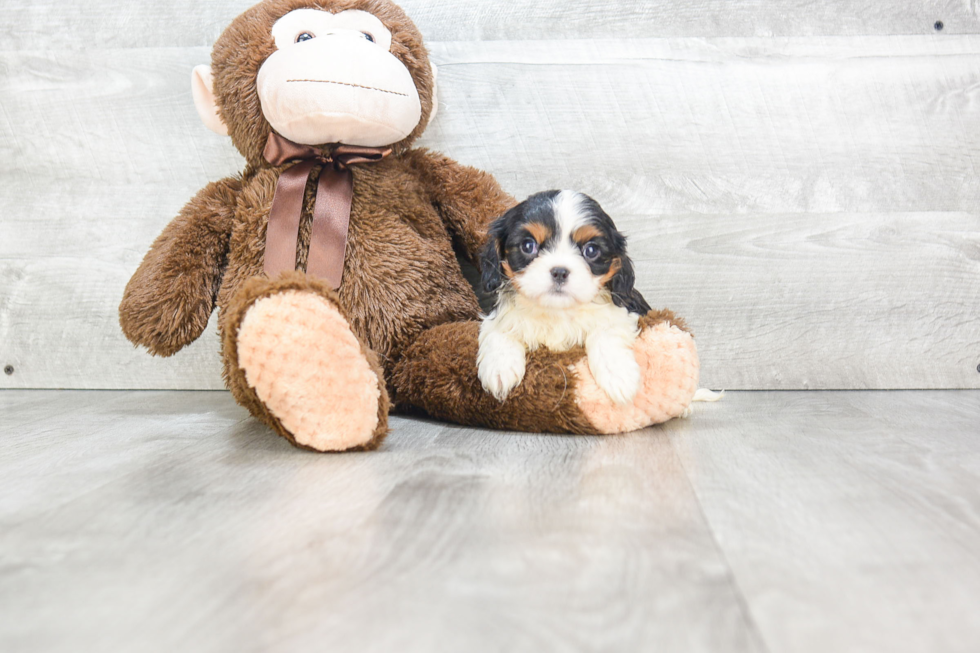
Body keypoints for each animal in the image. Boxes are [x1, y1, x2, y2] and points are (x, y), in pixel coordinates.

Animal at [476, 188, 652, 402]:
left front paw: (618, 375)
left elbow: (606, 331)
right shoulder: (498, 313)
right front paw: (499, 369)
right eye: (528, 246)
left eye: (591, 250)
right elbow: (499, 328)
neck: (557, 311)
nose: (559, 272)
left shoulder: (622, 311)